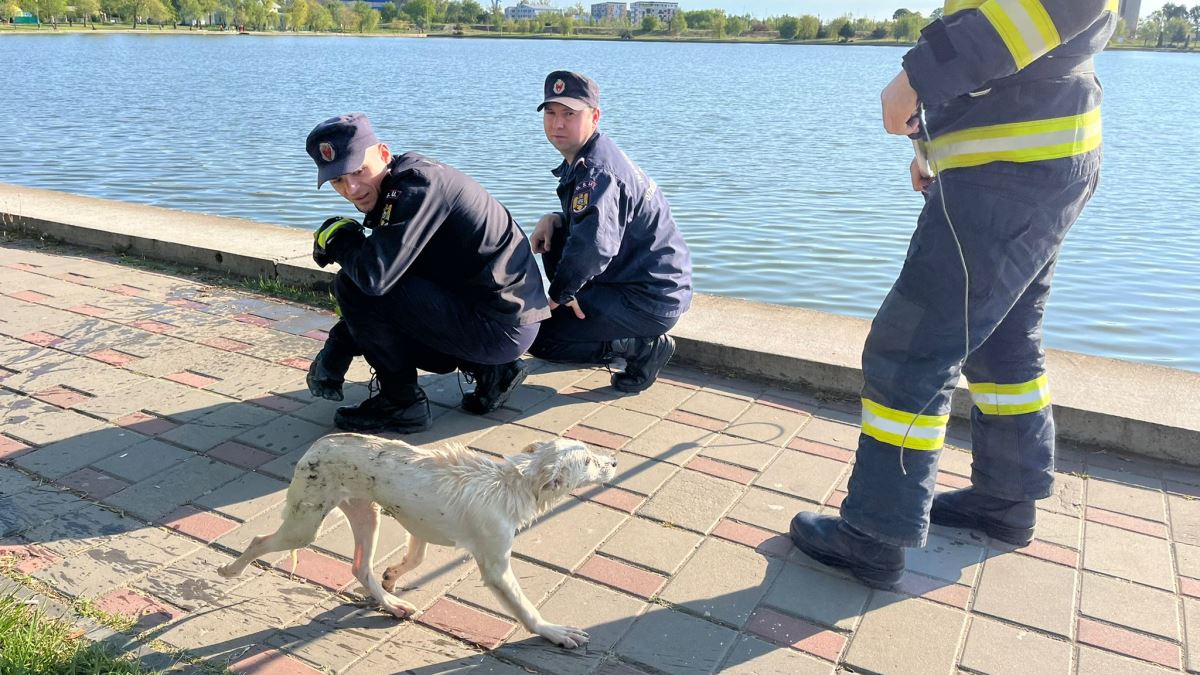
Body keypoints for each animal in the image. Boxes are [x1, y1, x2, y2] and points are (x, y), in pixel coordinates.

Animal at [217, 434, 617, 648]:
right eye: (587, 460)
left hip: (366, 514)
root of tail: (318, 445)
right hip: (305, 526)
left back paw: (391, 604)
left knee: (360, 568)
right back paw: (229, 570)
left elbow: (416, 559)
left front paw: (393, 576)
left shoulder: (419, 526)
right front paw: (553, 633)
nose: (614, 461)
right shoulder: (496, 567)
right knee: (258, 540)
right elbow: (525, 609)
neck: (511, 484)